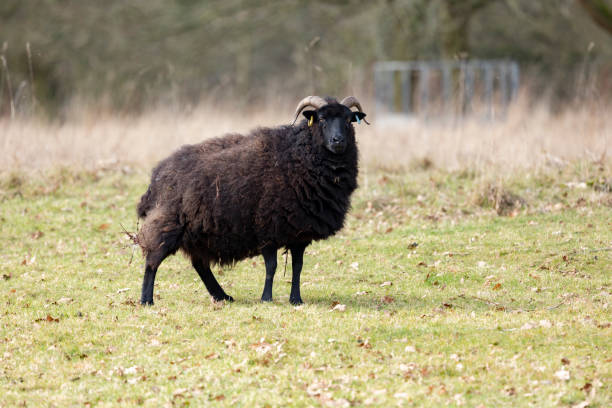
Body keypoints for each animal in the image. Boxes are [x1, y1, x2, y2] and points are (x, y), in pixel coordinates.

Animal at [138, 95, 366, 304]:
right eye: (322, 119)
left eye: (348, 120)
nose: (338, 141)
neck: (297, 155)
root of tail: (157, 176)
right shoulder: (267, 226)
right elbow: (271, 266)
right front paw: (266, 298)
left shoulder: (299, 231)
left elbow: (298, 267)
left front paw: (296, 299)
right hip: (169, 221)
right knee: (152, 259)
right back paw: (146, 300)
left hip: (199, 230)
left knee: (200, 265)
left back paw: (222, 296)